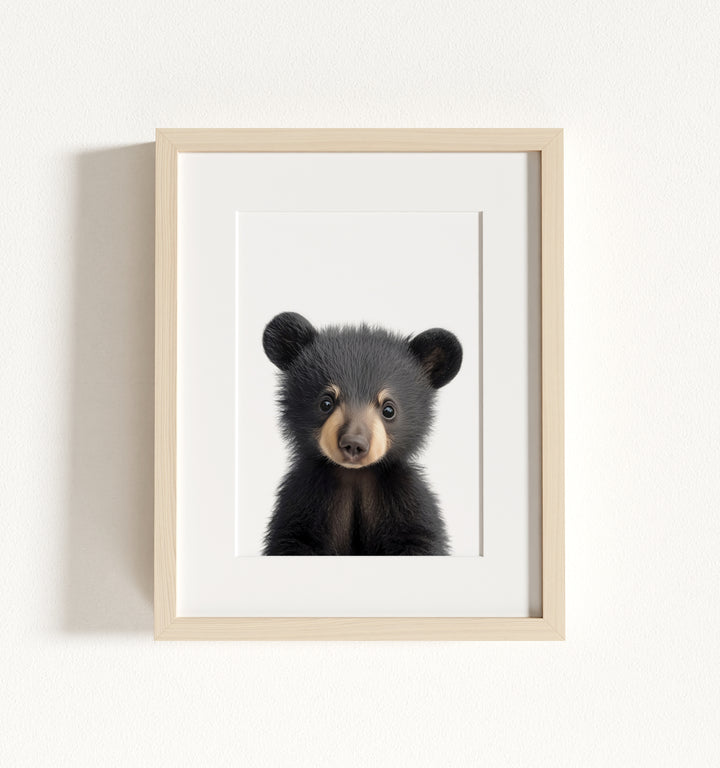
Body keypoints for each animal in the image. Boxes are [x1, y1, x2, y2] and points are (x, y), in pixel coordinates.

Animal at [261, 311, 463, 556]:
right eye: (326, 403)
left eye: (389, 409)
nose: (354, 444)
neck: (355, 475)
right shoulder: (303, 500)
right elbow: (293, 537)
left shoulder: (405, 499)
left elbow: (420, 537)